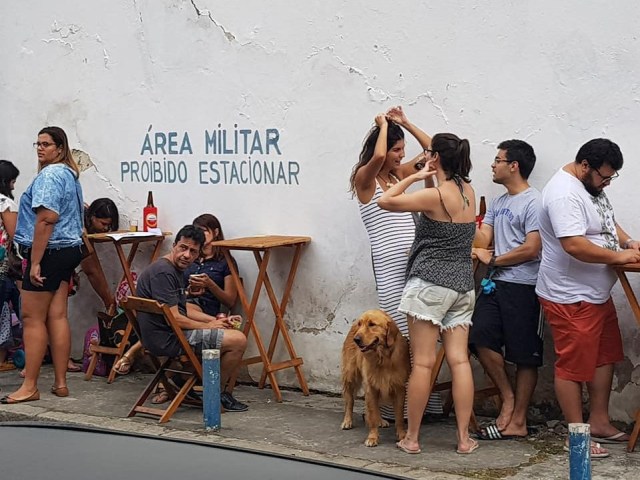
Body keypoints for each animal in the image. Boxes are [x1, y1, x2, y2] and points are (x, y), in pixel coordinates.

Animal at [340, 309, 411, 447]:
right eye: (360, 324)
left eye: (372, 324)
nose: (356, 339)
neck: (383, 357)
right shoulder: (371, 386)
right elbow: (371, 414)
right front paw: (372, 437)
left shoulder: (399, 388)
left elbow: (399, 415)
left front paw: (401, 434)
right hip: (351, 376)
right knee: (349, 401)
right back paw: (347, 421)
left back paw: (380, 420)